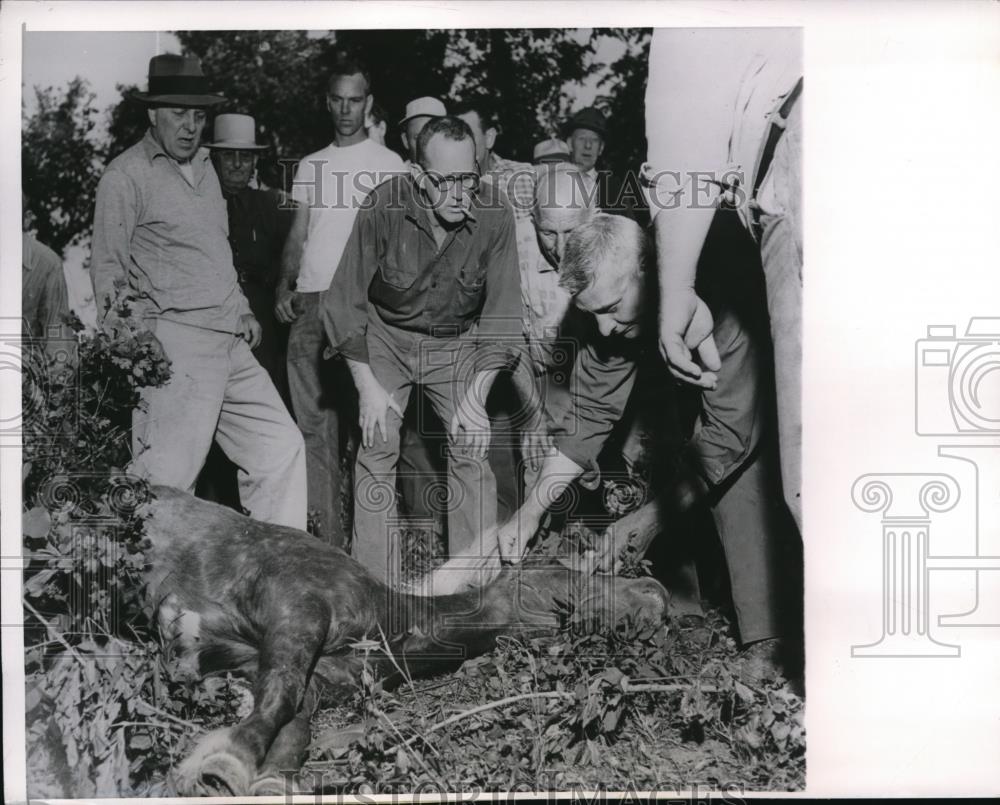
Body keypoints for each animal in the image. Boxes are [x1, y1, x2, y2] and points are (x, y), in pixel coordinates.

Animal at [141, 486, 672, 796]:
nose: (657, 593)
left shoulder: (311, 674)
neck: (387, 621)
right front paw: (224, 765)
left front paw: (268, 777)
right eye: (564, 577)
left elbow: (294, 721)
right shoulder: (298, 608)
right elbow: (280, 698)